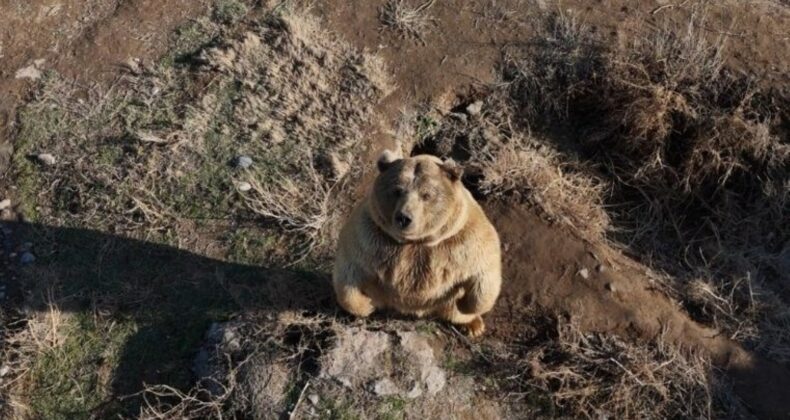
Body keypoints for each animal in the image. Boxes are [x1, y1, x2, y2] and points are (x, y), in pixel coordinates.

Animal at [332, 149, 502, 336]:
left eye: (426, 195)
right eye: (397, 190)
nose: (404, 218)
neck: (417, 241)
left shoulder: (460, 241)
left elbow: (484, 271)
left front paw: (466, 305)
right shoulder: (370, 237)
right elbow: (348, 272)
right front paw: (366, 305)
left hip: (444, 301)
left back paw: (473, 325)